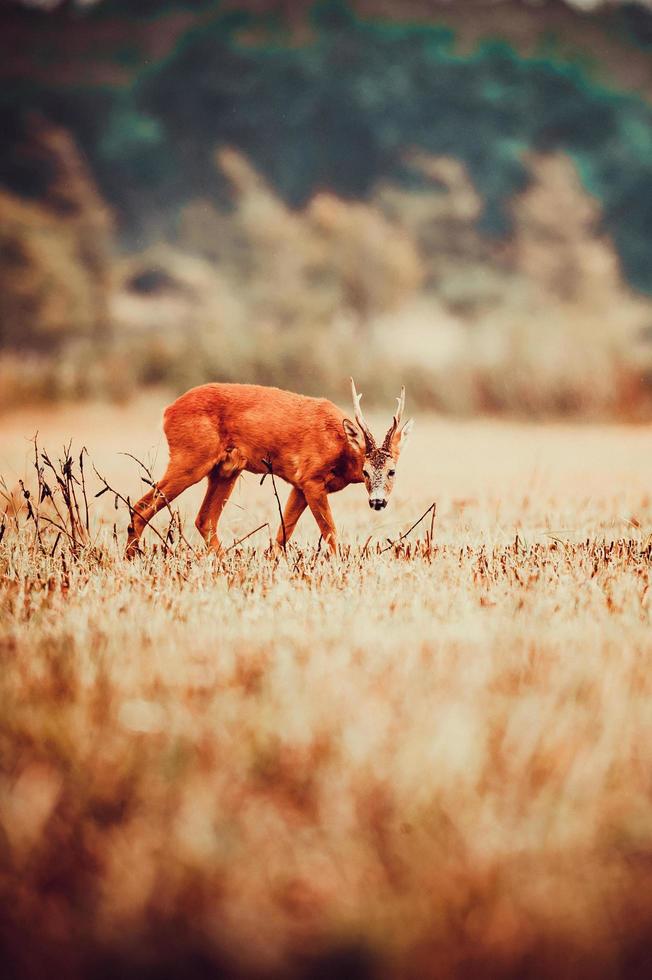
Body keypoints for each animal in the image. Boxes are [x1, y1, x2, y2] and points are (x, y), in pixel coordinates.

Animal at [123, 378, 412, 560]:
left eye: (392, 471)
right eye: (365, 471)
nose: (377, 502)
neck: (340, 447)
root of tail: (167, 411)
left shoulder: (299, 485)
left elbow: (284, 533)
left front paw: (273, 563)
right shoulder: (312, 478)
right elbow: (330, 532)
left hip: (225, 470)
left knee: (204, 519)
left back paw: (225, 562)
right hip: (189, 458)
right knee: (141, 506)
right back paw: (131, 559)